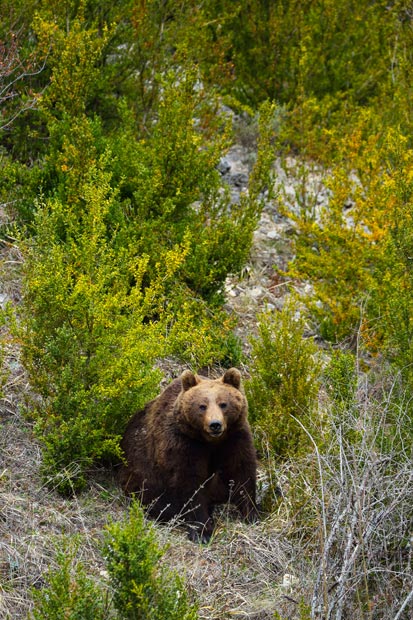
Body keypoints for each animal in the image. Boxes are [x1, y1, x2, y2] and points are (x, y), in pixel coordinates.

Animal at [117, 368, 256, 544]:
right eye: (202, 406)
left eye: (223, 404)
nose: (215, 425)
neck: (210, 441)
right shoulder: (184, 445)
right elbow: (190, 484)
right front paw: (202, 531)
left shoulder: (235, 438)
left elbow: (242, 472)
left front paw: (251, 514)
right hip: (139, 475)